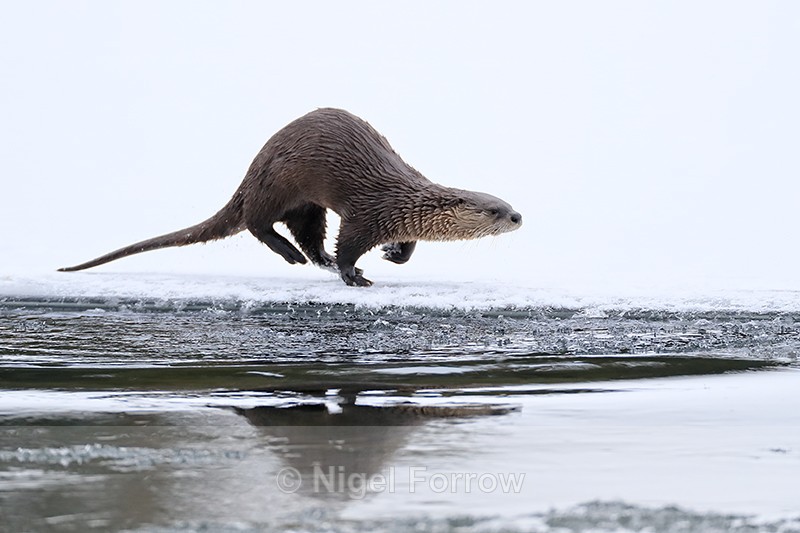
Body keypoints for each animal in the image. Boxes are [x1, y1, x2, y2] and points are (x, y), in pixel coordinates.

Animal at [59, 108, 522, 286]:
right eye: (493, 210)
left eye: (508, 204)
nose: (519, 217)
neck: (404, 201)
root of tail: (250, 173)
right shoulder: (366, 215)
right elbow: (350, 245)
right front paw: (354, 275)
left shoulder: (396, 219)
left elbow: (408, 246)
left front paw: (392, 255)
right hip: (278, 185)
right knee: (256, 223)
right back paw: (293, 255)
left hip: (306, 205)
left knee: (308, 237)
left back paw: (314, 259)